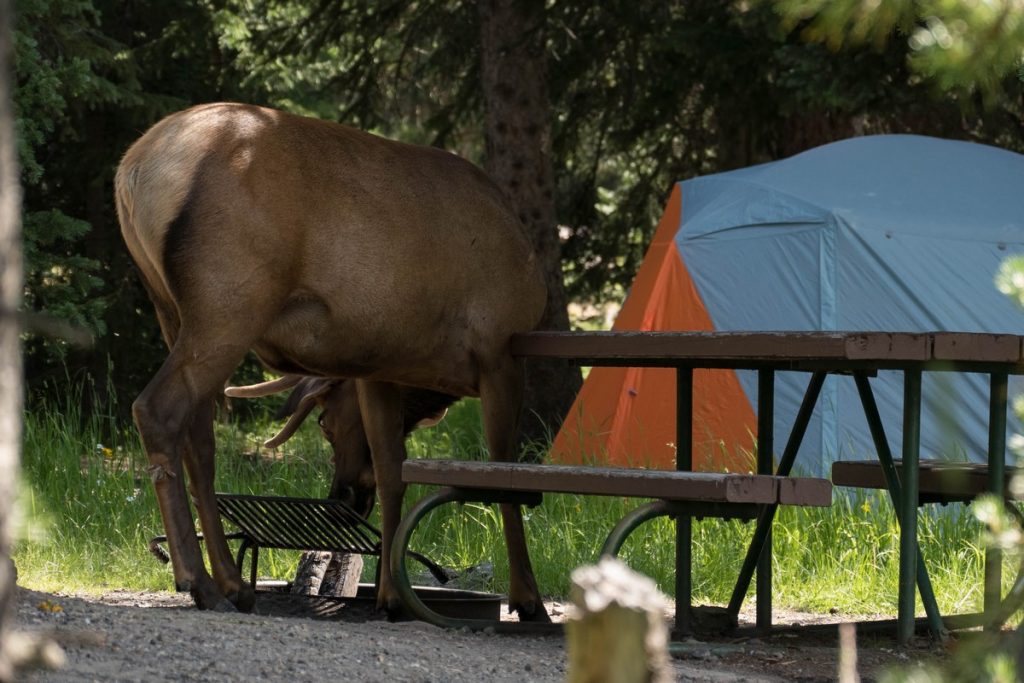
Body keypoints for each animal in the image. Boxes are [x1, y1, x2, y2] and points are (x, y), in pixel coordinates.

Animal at [116, 102, 550, 621]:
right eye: (321, 425)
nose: (341, 499)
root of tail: (134, 171)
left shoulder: (382, 368)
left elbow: (392, 473)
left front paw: (391, 595)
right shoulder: (501, 348)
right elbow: (505, 478)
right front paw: (528, 600)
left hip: (169, 308)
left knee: (199, 436)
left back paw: (233, 583)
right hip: (229, 302)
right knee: (157, 410)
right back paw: (198, 582)